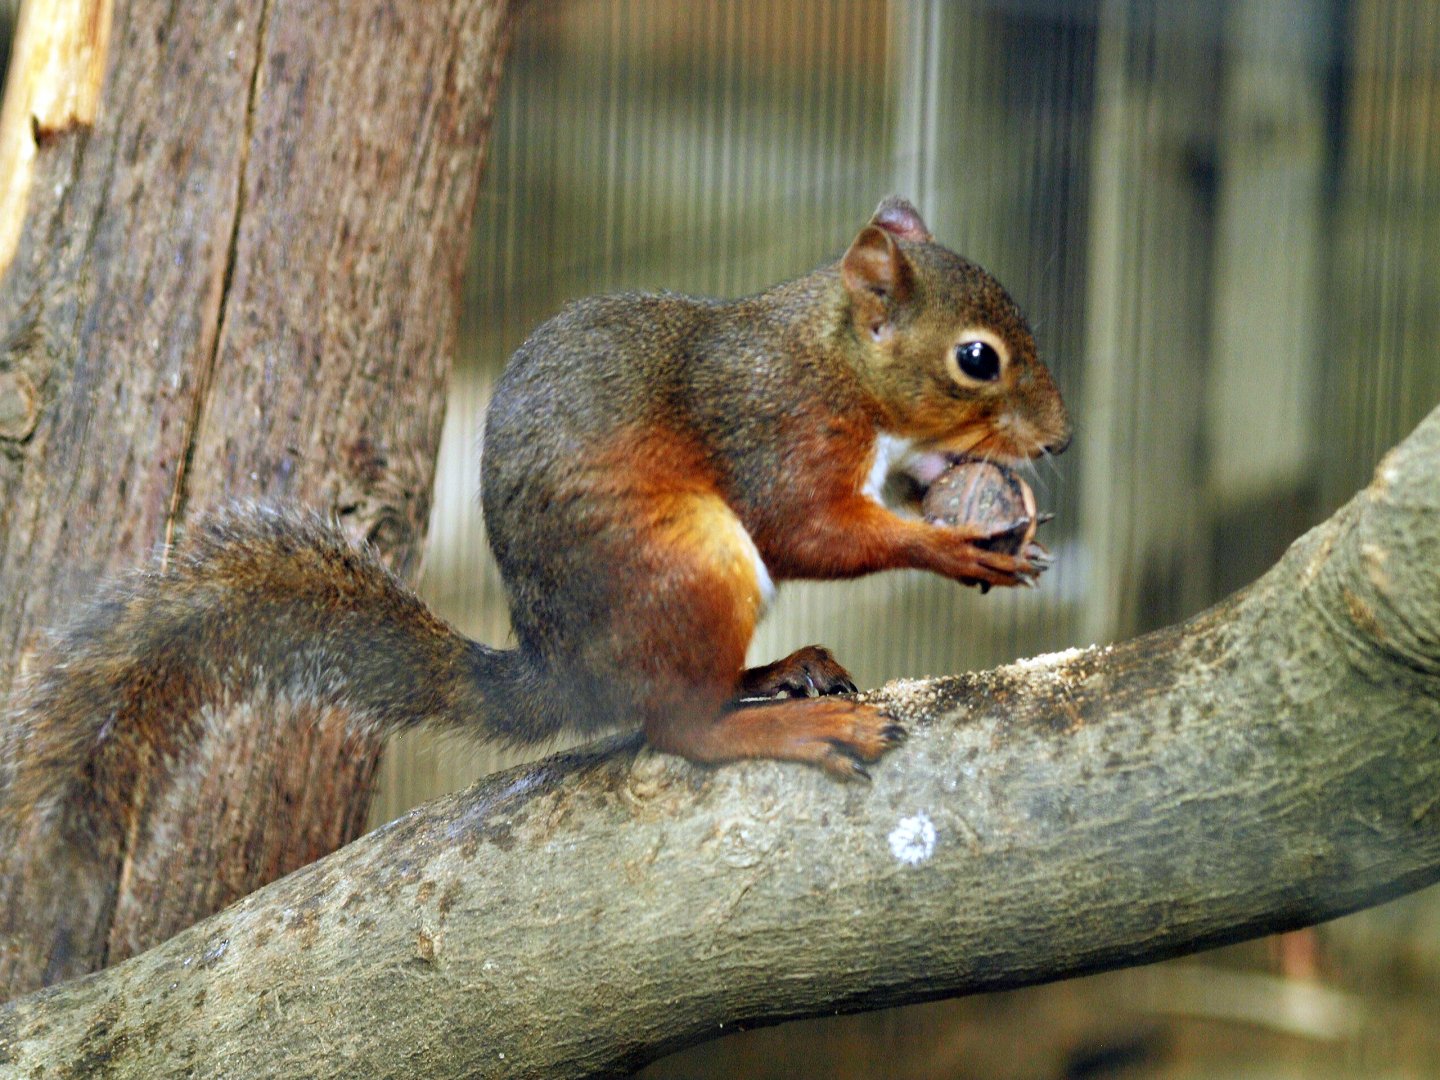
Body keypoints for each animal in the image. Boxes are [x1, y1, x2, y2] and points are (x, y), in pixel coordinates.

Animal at [3, 196, 1070, 845]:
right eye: (978, 359)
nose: (1058, 435)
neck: (834, 357)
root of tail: (566, 672)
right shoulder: (774, 427)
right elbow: (805, 528)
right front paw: (958, 545)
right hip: (695, 562)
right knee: (679, 729)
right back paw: (792, 724)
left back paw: (779, 673)